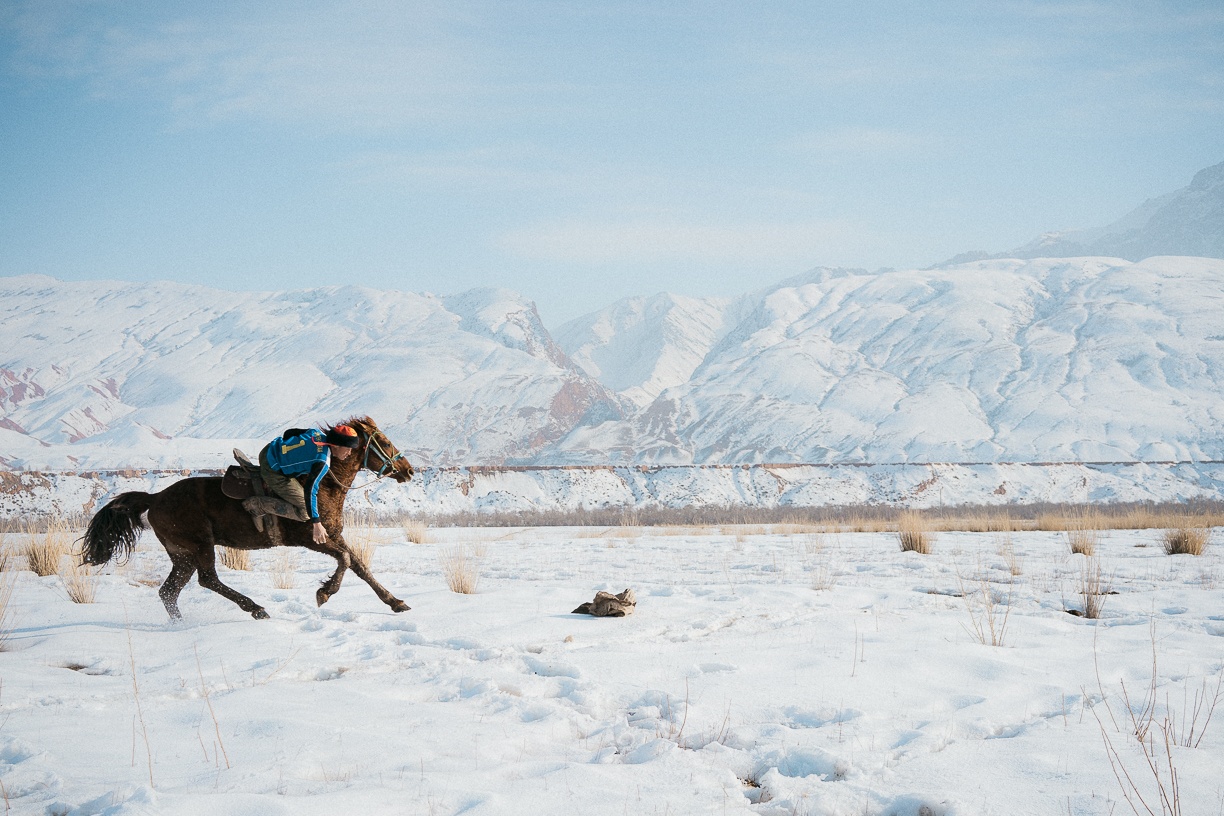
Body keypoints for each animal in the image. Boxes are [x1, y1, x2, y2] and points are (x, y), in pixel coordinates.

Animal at [82, 415, 416, 619]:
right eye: (386, 442)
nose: (409, 471)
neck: (326, 483)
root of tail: (155, 498)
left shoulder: (335, 536)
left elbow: (360, 566)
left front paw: (396, 602)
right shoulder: (312, 538)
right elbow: (346, 561)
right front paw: (324, 593)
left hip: (182, 554)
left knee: (169, 592)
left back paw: (180, 623)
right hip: (198, 545)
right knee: (207, 579)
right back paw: (256, 609)